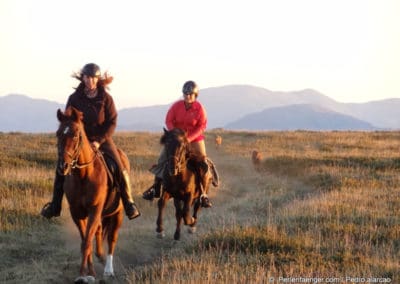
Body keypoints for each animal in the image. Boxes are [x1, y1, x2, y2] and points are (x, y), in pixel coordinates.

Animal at [56, 107, 125, 284]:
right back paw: (100, 256)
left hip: (118, 213)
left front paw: (89, 274)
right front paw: (85, 273)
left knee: (112, 238)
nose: (63, 166)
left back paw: (108, 269)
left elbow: (87, 241)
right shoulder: (77, 213)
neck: (84, 176)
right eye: (58, 134)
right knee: (99, 230)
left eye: (75, 135)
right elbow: (84, 242)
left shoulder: (94, 210)